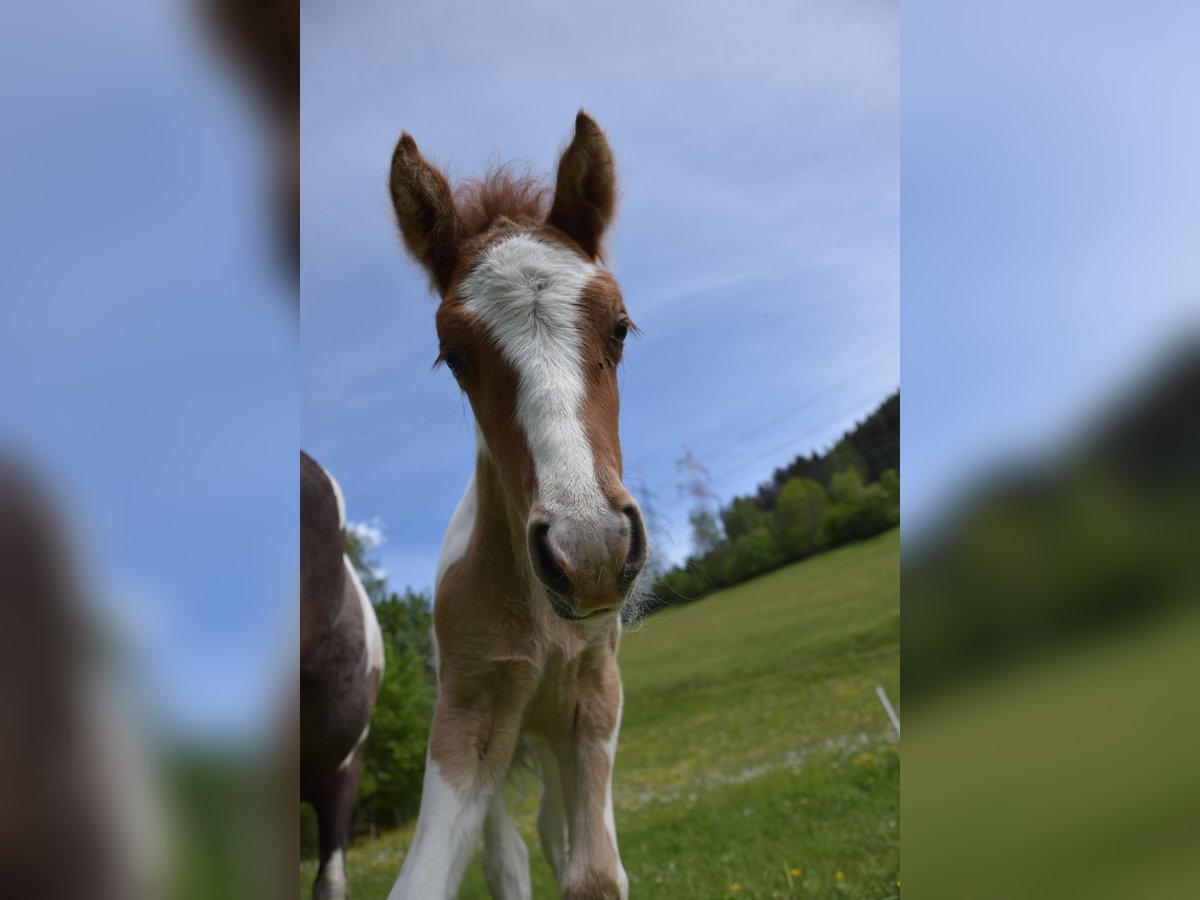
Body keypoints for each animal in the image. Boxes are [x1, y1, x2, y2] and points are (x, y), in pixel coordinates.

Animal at [384, 112, 648, 900]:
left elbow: (593, 874)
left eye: (620, 326)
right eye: (453, 355)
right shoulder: (470, 713)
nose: (588, 552)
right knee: (511, 853)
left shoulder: (594, 696)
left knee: (553, 834)